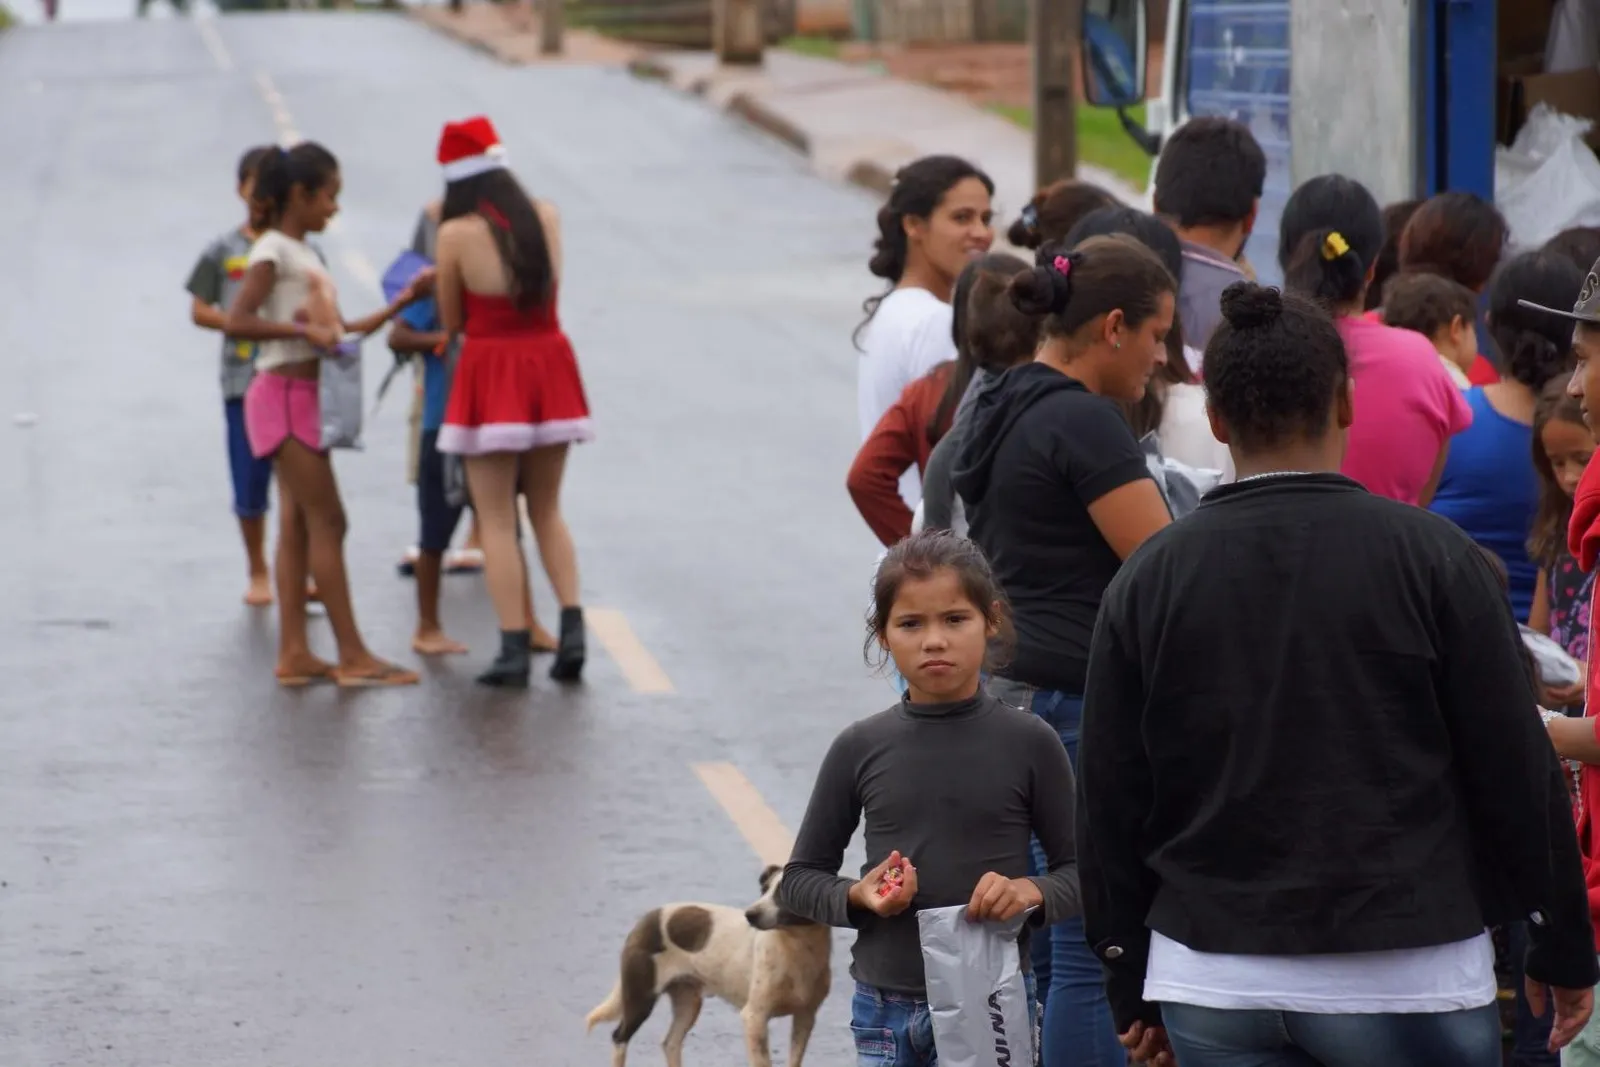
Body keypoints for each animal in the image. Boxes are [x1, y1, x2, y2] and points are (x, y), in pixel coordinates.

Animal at [585, 864, 831, 1067]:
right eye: (764, 890)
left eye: (784, 893)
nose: (750, 915)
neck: (799, 947)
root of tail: (648, 917)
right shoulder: (754, 1018)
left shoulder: (805, 1018)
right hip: (641, 996)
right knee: (619, 1037)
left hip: (688, 1001)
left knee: (670, 1043)